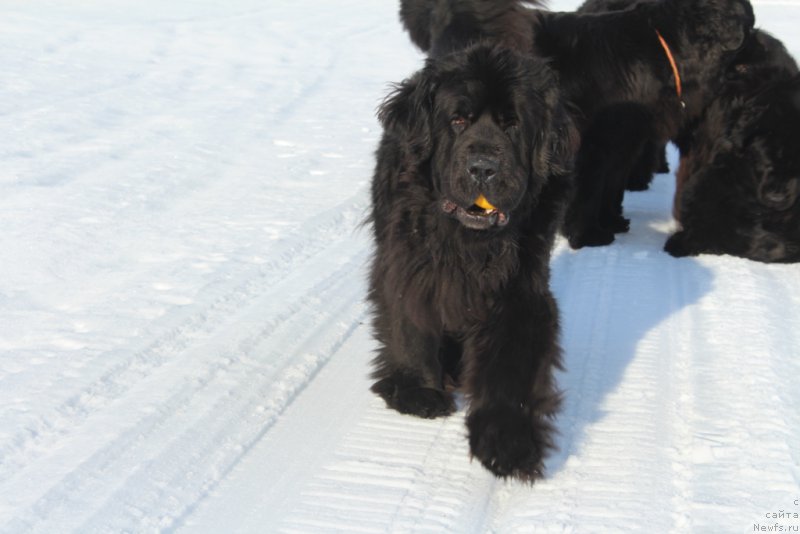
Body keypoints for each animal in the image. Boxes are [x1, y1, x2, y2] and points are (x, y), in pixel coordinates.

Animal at [366, 45, 580, 482]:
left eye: (513, 125)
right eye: (458, 120)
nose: (483, 168)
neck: (468, 241)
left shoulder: (519, 289)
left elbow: (511, 365)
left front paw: (507, 443)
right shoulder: (408, 262)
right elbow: (406, 319)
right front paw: (416, 391)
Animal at [400, 0, 756, 249]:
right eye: (750, 27)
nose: (758, 40)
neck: (666, 49)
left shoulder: (627, 143)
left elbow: (612, 187)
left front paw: (613, 222)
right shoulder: (597, 144)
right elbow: (590, 192)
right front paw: (589, 236)